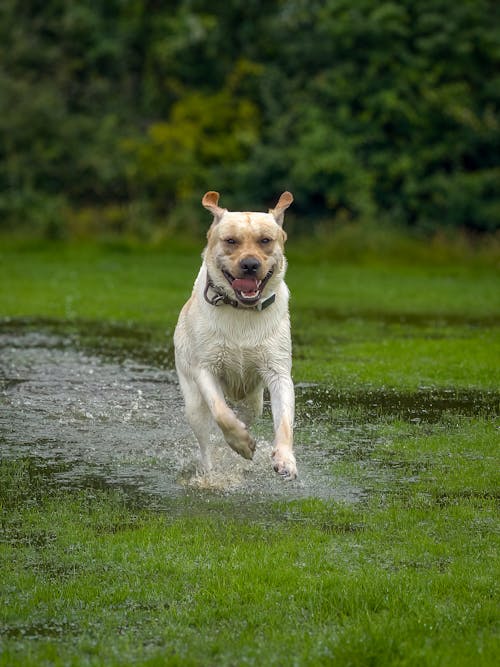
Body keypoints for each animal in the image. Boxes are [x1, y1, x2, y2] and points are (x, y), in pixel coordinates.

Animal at [174, 190, 296, 478]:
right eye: (231, 241)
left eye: (265, 241)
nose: (250, 264)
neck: (242, 309)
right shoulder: (205, 369)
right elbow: (221, 413)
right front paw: (241, 444)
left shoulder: (278, 372)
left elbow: (285, 421)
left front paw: (285, 459)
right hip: (193, 404)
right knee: (206, 441)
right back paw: (211, 473)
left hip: (253, 401)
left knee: (246, 415)